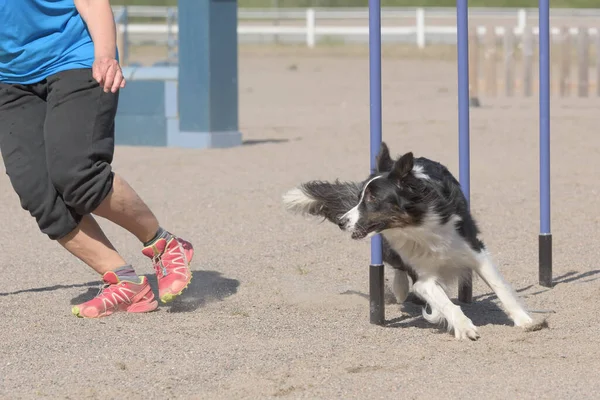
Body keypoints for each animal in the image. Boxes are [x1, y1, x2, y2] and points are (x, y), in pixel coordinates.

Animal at [284, 142, 536, 340]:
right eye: (358, 198)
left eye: (372, 198)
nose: (342, 222)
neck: (417, 225)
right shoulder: (423, 278)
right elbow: (444, 301)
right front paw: (464, 327)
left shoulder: (474, 249)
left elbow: (500, 286)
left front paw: (525, 320)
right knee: (398, 267)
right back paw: (400, 288)